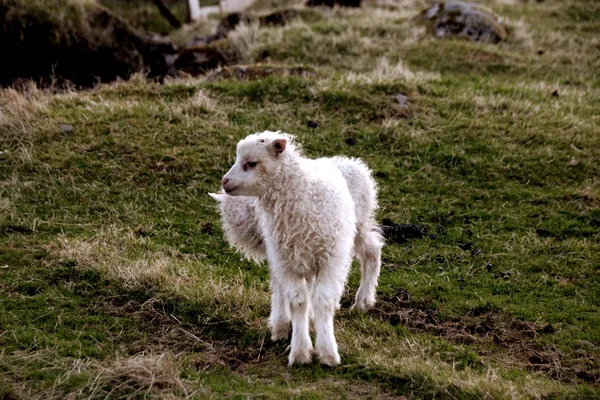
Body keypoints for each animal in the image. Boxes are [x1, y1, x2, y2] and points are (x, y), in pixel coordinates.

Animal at [209, 131, 382, 366]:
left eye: (251, 163)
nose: (224, 182)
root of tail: (349, 162)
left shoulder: (330, 259)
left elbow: (322, 301)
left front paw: (328, 352)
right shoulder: (285, 260)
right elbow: (298, 301)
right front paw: (300, 350)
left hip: (358, 225)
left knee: (372, 250)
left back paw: (363, 300)